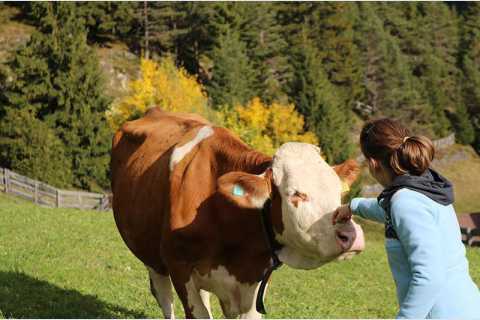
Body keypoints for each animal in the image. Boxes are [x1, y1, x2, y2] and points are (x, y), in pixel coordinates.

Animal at [109, 107, 364, 318]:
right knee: (164, 296)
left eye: (338, 192)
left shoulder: (254, 281)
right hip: (151, 254)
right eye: (296, 194)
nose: (351, 235)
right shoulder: (178, 267)